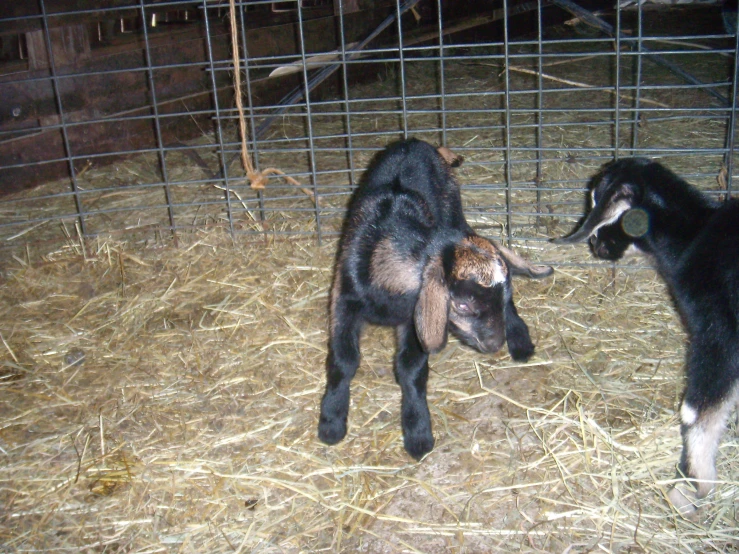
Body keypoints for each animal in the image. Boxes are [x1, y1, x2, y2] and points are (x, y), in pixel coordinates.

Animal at [320, 138, 556, 458]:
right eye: (463, 304)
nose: (495, 345)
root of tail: (415, 142)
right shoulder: (344, 299)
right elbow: (343, 361)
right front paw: (331, 421)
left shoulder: (413, 319)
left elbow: (411, 369)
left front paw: (418, 433)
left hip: (454, 210)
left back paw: (521, 341)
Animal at [556, 157, 739, 516]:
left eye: (600, 202)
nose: (594, 244)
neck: (692, 237)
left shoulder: (719, 334)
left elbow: (696, 410)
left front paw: (690, 486)